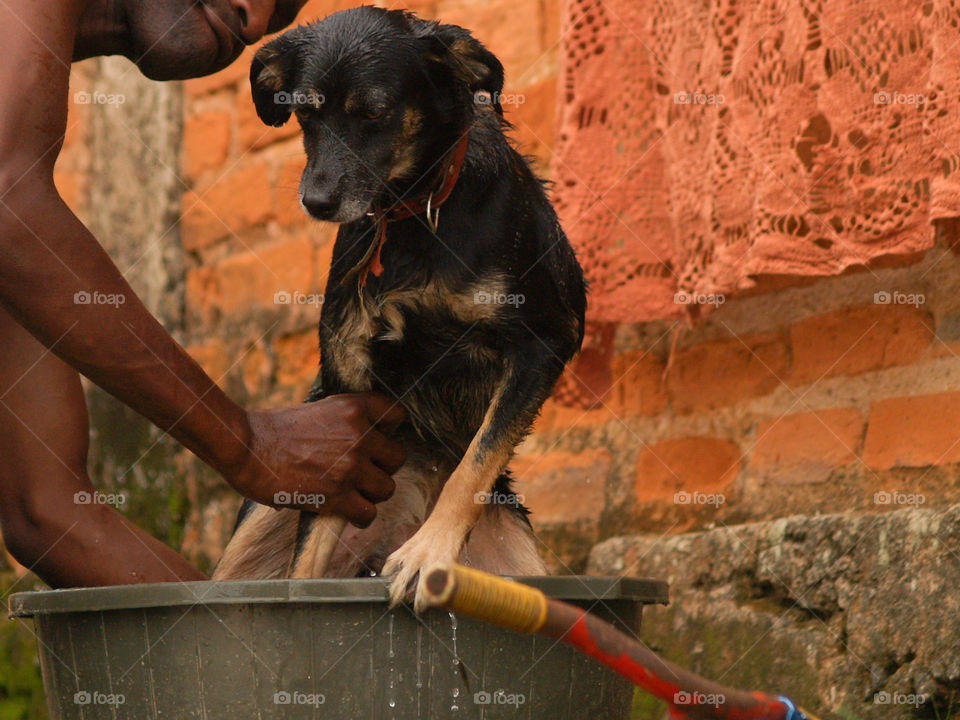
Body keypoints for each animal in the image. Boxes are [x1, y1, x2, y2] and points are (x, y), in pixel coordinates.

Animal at [214, 5, 584, 612]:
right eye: (304, 115)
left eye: (374, 112)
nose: (316, 202)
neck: (413, 214)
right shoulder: (348, 389)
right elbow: (308, 555)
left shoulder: (544, 341)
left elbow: (474, 463)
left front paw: (427, 553)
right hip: (253, 534)